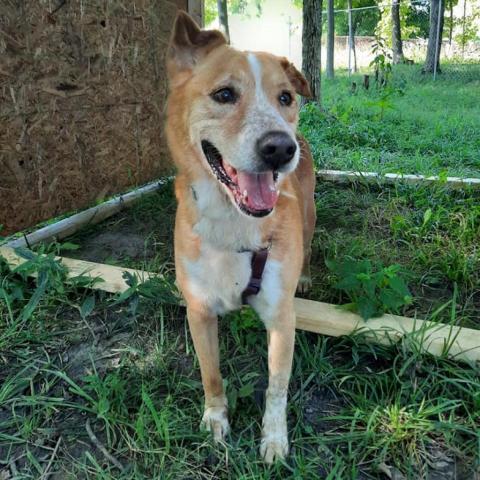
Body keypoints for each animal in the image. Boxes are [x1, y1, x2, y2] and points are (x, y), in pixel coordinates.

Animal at [165, 10, 316, 462]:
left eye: (285, 98)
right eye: (224, 94)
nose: (280, 148)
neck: (234, 222)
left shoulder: (282, 317)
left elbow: (277, 387)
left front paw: (274, 438)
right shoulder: (198, 311)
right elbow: (211, 374)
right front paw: (216, 420)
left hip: (310, 212)